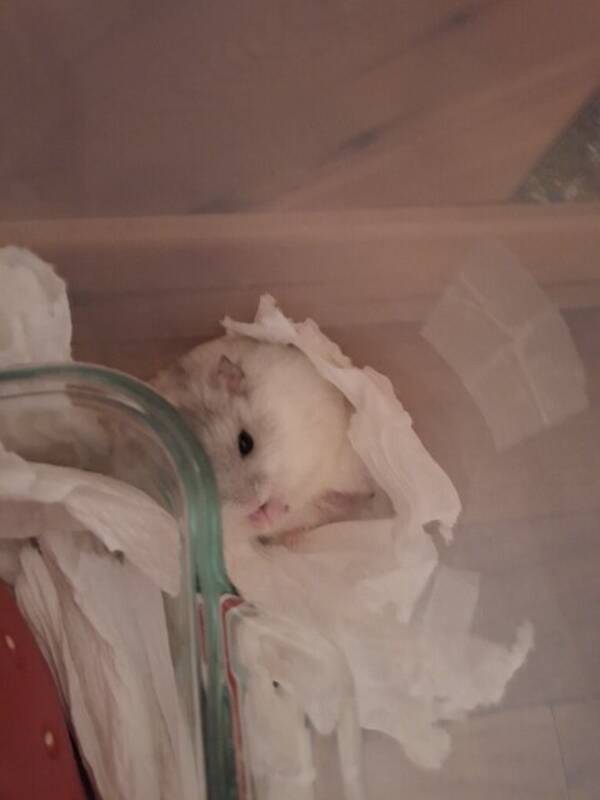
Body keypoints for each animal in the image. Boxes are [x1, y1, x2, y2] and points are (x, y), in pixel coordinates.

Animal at [153, 336, 378, 542]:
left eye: (246, 442)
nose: (255, 503)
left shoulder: (310, 462)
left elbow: (290, 495)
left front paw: (269, 512)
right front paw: (259, 518)